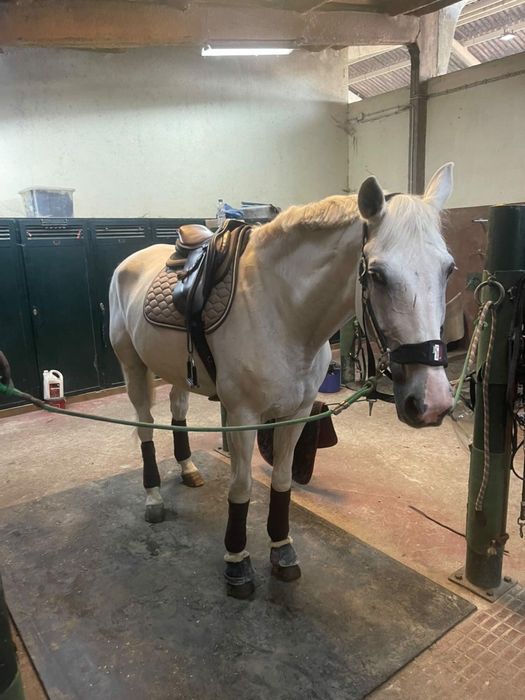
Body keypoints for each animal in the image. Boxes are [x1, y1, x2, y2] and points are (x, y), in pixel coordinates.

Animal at [109, 162, 455, 598]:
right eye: (376, 275)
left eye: (449, 269)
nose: (433, 403)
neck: (281, 310)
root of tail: (131, 261)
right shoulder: (242, 417)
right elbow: (241, 487)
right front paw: (237, 562)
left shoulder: (297, 413)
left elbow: (283, 479)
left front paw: (282, 549)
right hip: (133, 368)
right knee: (145, 426)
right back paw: (153, 496)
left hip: (175, 371)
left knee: (178, 410)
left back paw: (188, 469)